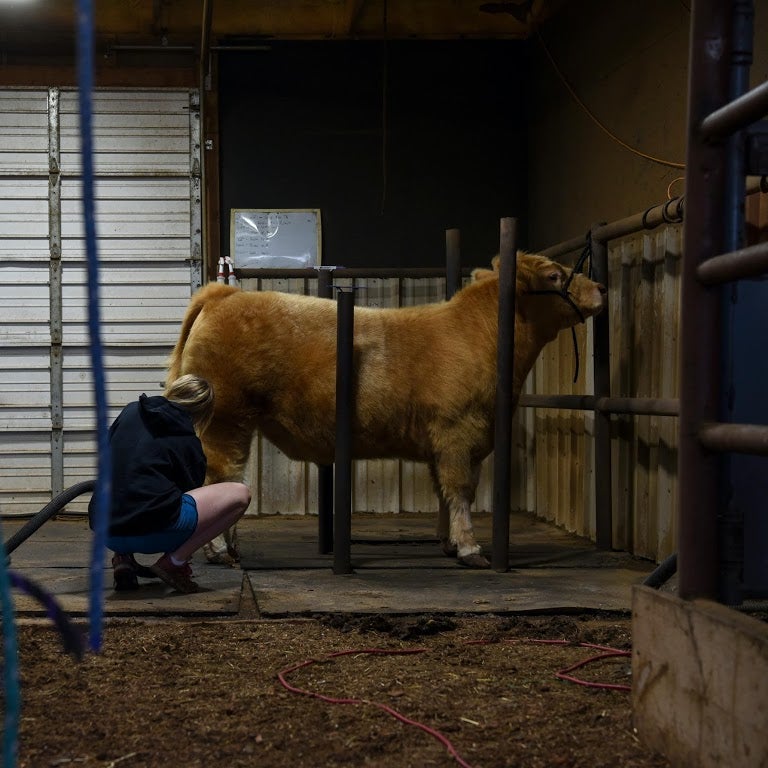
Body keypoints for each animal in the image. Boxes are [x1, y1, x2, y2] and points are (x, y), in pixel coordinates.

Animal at [168, 249, 608, 568]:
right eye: (554, 276)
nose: (601, 288)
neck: (478, 335)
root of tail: (227, 294)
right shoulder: (458, 432)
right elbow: (460, 490)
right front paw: (470, 549)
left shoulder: (448, 442)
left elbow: (443, 491)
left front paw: (449, 543)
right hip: (226, 420)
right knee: (219, 476)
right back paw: (219, 551)